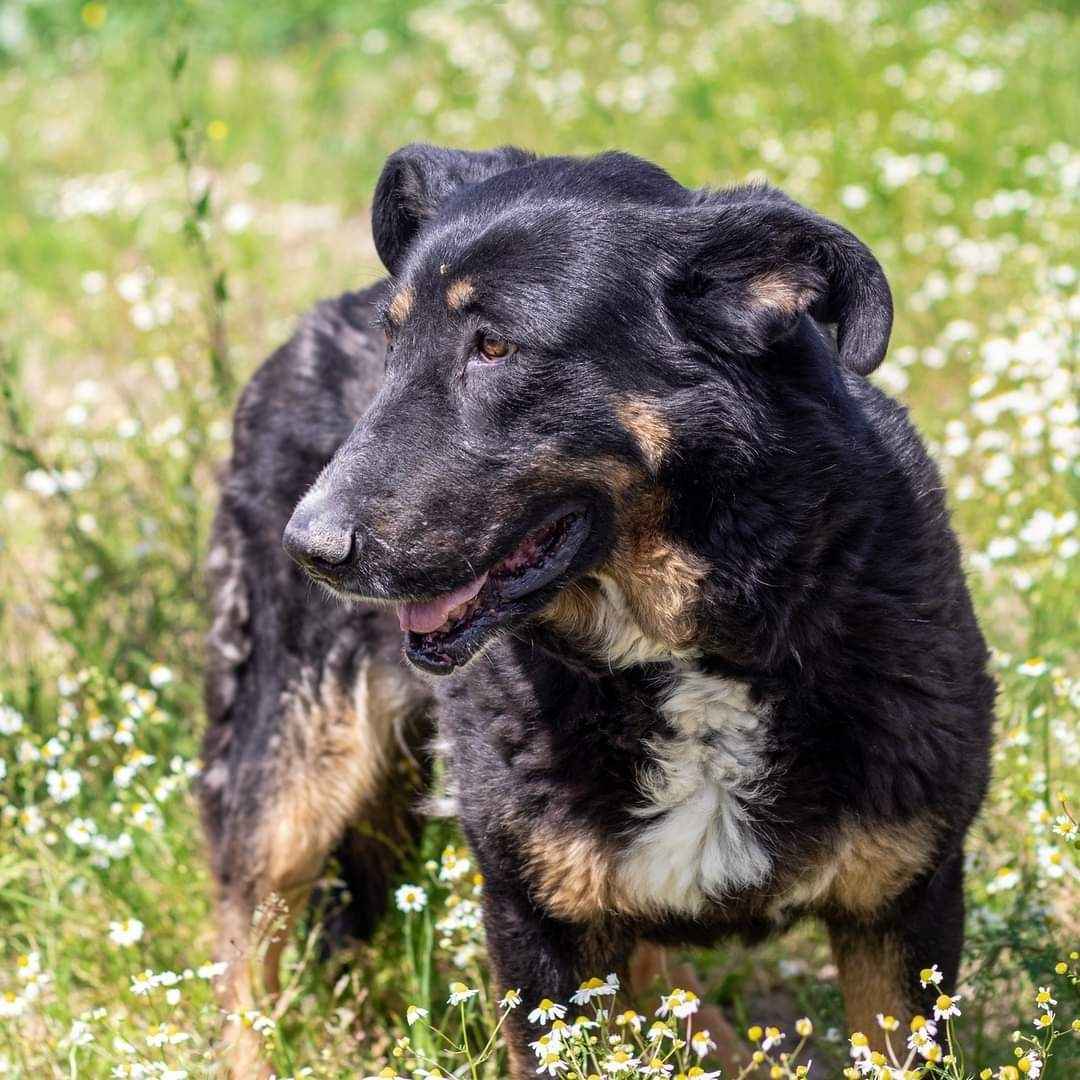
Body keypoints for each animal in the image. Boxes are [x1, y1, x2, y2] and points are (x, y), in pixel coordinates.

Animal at [198, 145, 989, 1080]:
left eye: (495, 346)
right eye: (393, 345)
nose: (309, 548)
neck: (686, 651)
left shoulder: (903, 907)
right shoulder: (536, 923)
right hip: (295, 764)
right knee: (246, 939)